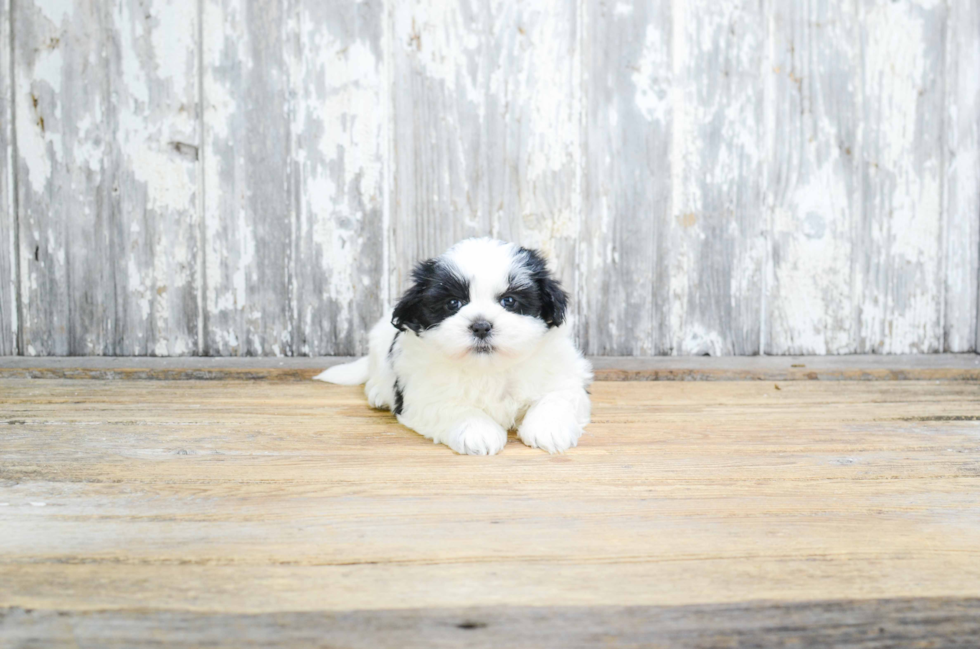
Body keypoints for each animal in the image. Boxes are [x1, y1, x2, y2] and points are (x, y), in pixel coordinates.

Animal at [314, 238, 588, 456]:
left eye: (509, 301)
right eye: (453, 303)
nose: (481, 326)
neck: (488, 369)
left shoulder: (566, 374)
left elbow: (557, 396)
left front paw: (548, 428)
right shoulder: (423, 395)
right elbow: (454, 407)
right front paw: (478, 430)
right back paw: (378, 394)